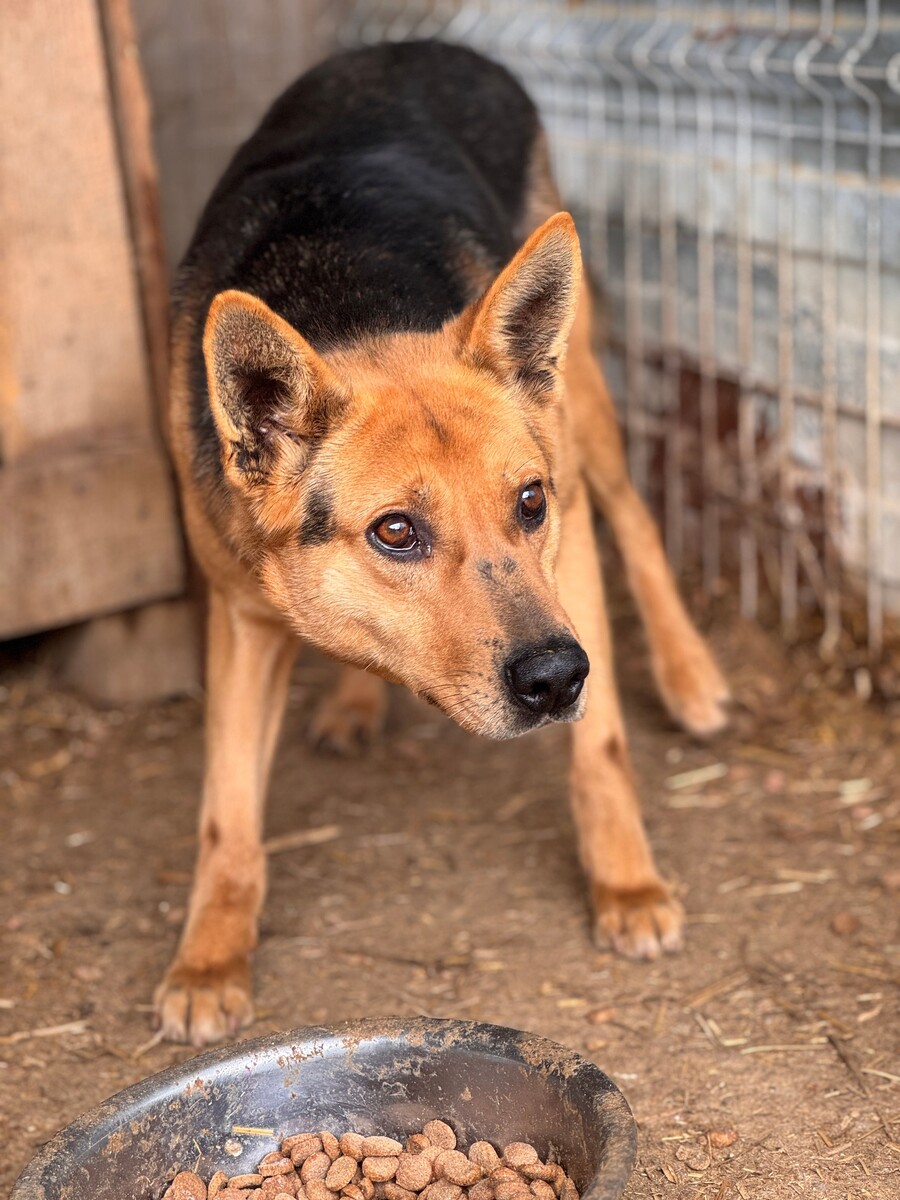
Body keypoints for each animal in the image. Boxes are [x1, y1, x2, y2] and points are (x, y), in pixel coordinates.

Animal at [158, 40, 729, 1045]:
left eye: (529, 504)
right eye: (395, 531)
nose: (555, 680)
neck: (352, 304)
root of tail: (422, 44)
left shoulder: (570, 547)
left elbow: (602, 749)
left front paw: (625, 884)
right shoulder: (239, 618)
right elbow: (226, 811)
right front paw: (209, 958)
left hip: (585, 404)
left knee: (638, 517)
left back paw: (690, 676)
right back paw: (356, 699)